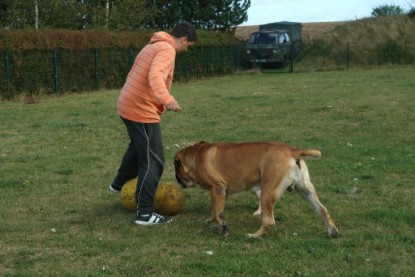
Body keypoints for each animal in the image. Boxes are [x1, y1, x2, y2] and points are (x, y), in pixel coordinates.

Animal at [174, 140, 340, 237]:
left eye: (176, 168)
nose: (176, 179)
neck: (195, 155)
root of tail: (292, 151)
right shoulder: (222, 194)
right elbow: (215, 209)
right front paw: (211, 219)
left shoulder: (218, 188)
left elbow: (216, 213)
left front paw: (223, 226)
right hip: (306, 191)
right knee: (323, 210)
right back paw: (333, 232)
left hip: (267, 192)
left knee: (269, 221)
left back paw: (254, 235)